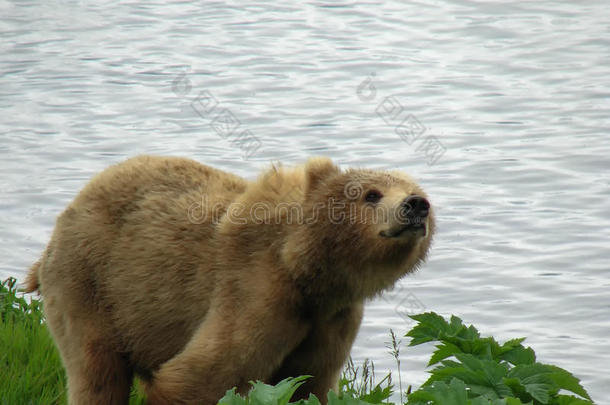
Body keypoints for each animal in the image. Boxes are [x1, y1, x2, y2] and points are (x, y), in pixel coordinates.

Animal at [23, 156, 432, 404]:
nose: (415, 205)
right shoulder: (257, 292)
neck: (310, 274)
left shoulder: (332, 321)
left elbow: (309, 384)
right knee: (97, 373)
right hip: (92, 282)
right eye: (371, 194)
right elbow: (199, 377)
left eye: (419, 192)